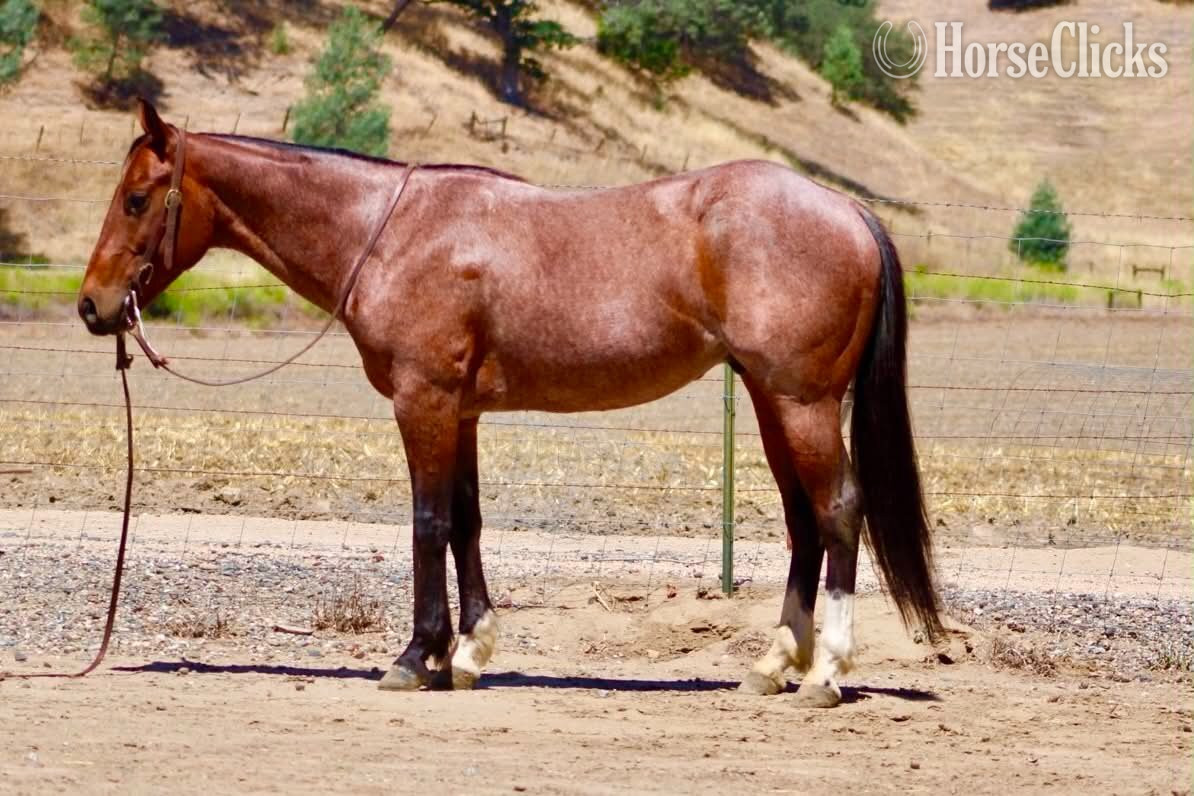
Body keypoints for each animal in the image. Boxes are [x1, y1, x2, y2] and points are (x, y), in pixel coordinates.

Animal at [78, 100, 941, 707]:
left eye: (136, 198)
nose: (92, 306)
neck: (391, 232)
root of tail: (846, 209)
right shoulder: (459, 412)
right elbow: (466, 522)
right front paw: (467, 653)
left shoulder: (422, 401)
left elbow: (428, 523)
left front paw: (414, 658)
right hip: (771, 401)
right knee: (803, 520)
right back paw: (771, 666)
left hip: (801, 401)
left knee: (839, 510)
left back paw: (825, 675)